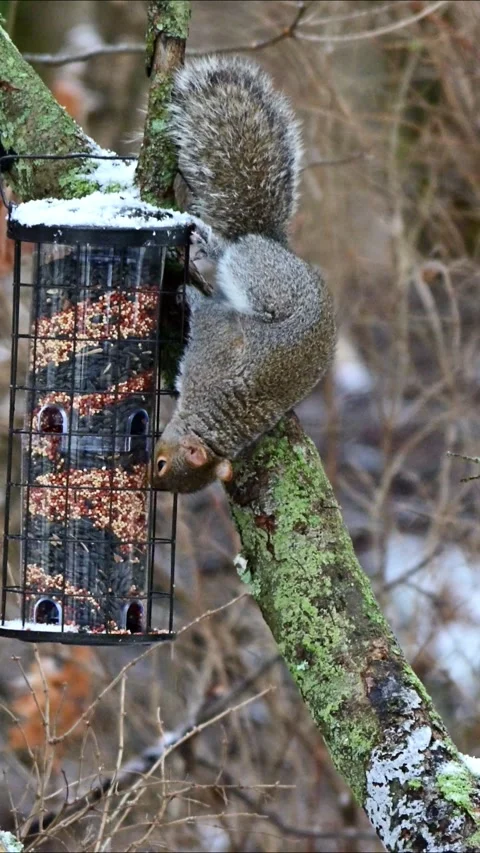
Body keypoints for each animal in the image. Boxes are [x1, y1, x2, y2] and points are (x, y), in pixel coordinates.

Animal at [152, 55, 336, 493]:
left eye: (163, 468)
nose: (146, 475)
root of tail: (276, 245)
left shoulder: (210, 351)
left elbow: (207, 313)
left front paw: (187, 293)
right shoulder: (214, 350)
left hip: (259, 275)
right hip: (264, 277)